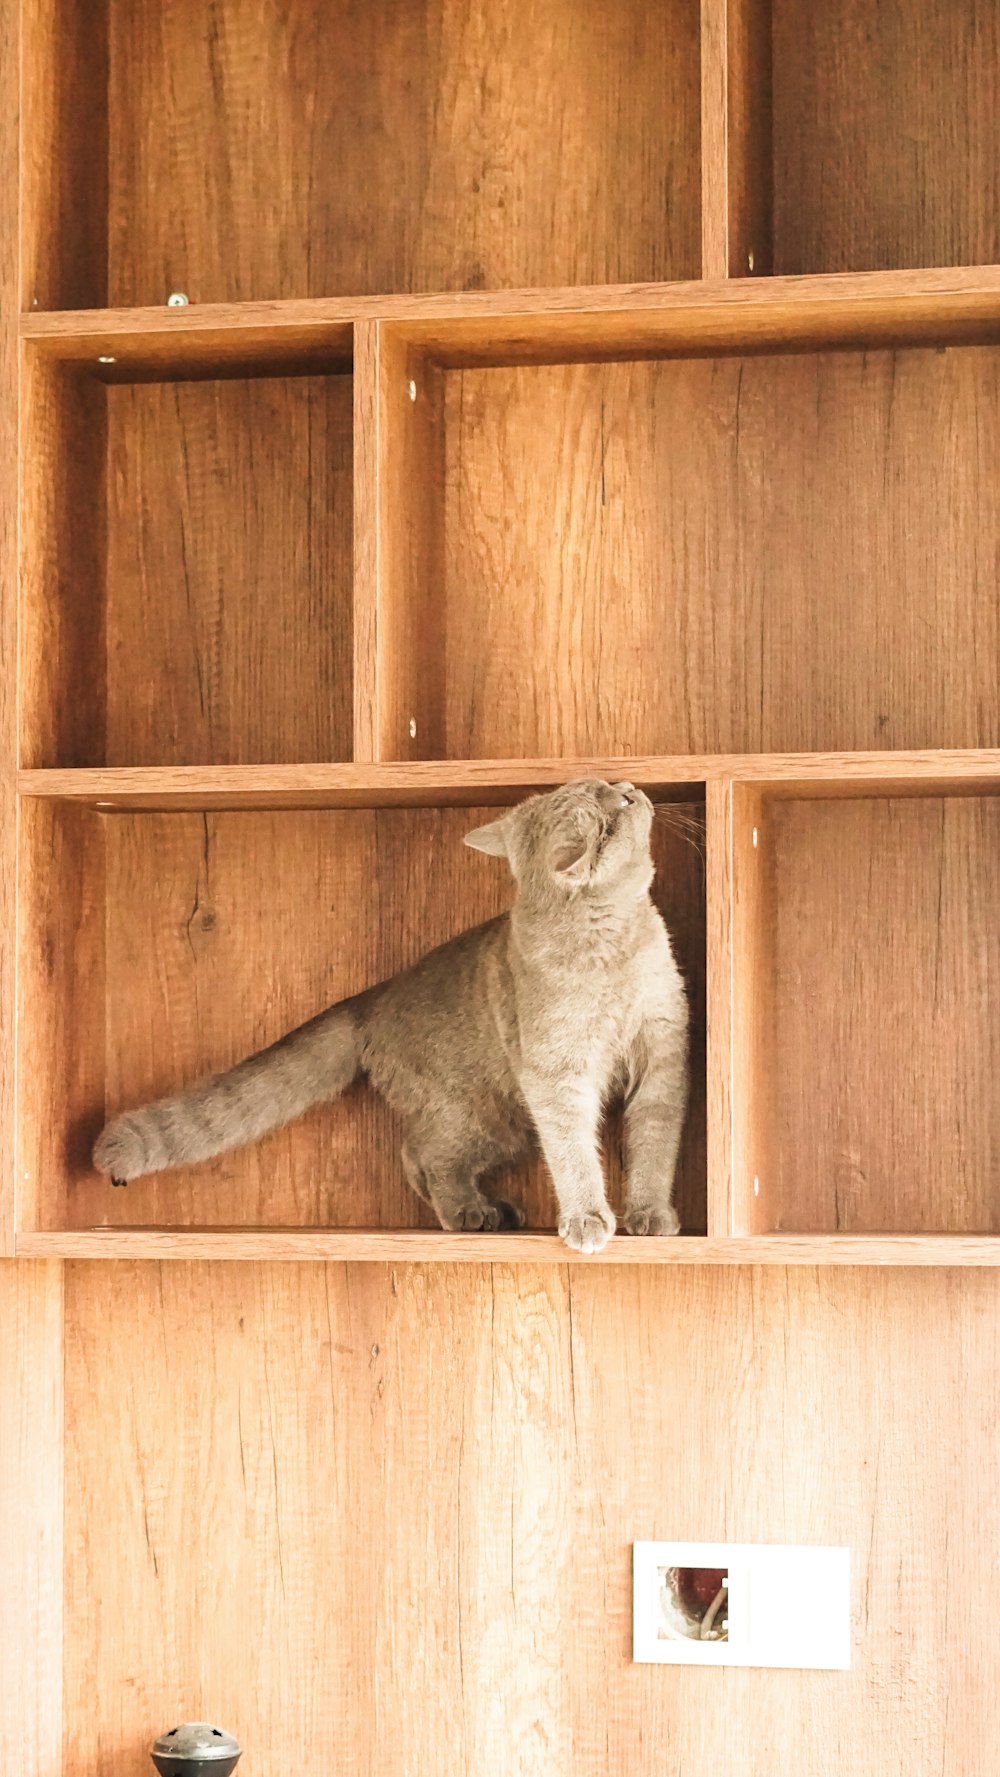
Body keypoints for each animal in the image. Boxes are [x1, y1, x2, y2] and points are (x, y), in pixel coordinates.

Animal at [94, 778, 689, 1251]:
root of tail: (374, 997)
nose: (629, 785)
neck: (615, 946)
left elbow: (655, 1144)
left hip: (500, 1122)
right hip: (479, 1115)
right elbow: (574, 1156)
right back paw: (471, 1213)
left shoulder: (663, 1057)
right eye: (610, 803)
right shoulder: (558, 1079)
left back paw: (494, 1212)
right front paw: (588, 1218)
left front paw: (651, 1214)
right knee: (423, 1155)